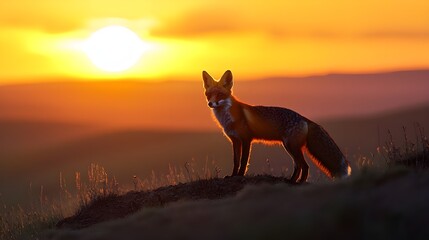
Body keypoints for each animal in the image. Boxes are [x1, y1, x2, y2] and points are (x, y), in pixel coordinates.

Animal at [202, 70, 350, 183]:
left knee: (305, 166)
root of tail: (304, 118)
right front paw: (233, 175)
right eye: (208, 95)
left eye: (220, 95)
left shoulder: (246, 139)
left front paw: (240, 175)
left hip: (292, 146)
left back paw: (299, 183)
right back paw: (291, 180)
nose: (210, 103)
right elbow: (236, 161)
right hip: (289, 147)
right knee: (298, 166)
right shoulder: (235, 141)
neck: (227, 117)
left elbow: (243, 161)